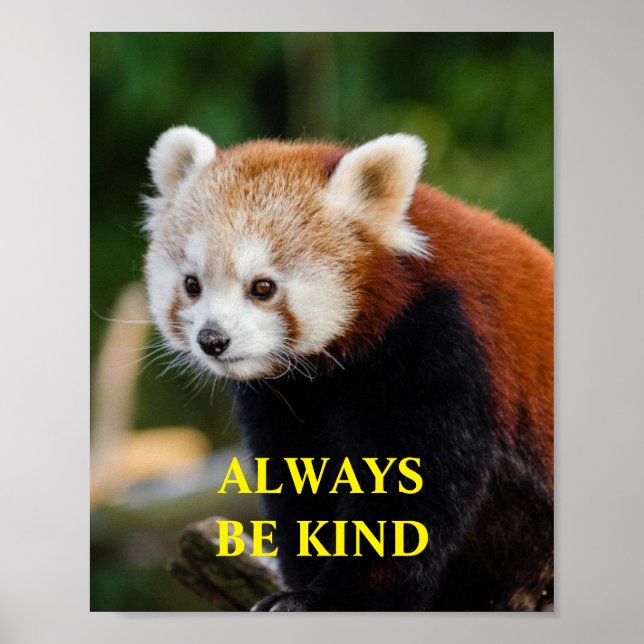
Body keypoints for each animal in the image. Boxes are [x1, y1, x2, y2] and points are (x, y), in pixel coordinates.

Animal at [143, 126, 553, 611]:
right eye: (192, 285)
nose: (212, 339)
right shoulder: (286, 402)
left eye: (262, 287)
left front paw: (338, 597)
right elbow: (299, 483)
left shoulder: (443, 345)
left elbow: (409, 494)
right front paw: (300, 584)